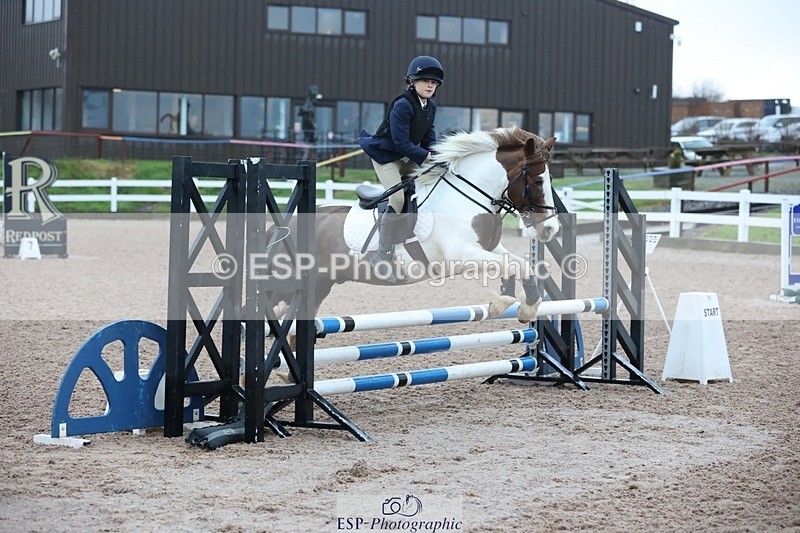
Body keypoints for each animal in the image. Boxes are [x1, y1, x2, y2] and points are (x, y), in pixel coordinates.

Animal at [273, 126, 560, 323]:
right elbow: (514, 265)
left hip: (321, 284)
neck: (468, 195)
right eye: (537, 181)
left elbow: (518, 264)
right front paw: (519, 306)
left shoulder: (490, 249)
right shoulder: (463, 255)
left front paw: (515, 304)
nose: (550, 229)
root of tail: (281, 230)